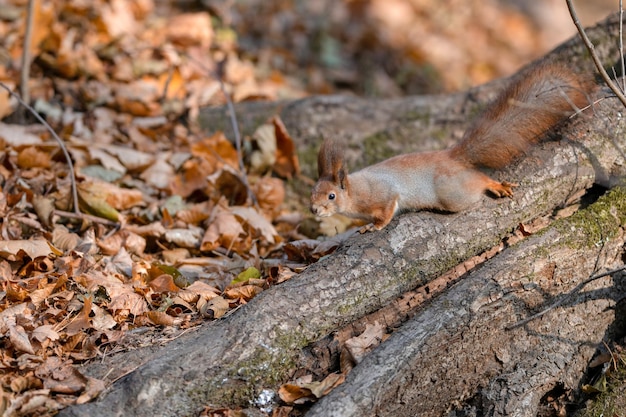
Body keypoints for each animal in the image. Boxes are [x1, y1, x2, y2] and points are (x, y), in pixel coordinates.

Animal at [310, 60, 592, 232]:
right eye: (313, 191)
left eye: (331, 196)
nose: (313, 209)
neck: (355, 191)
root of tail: (453, 157)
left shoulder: (382, 193)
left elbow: (388, 210)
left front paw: (374, 226)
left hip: (451, 193)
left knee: (477, 181)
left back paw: (495, 185)